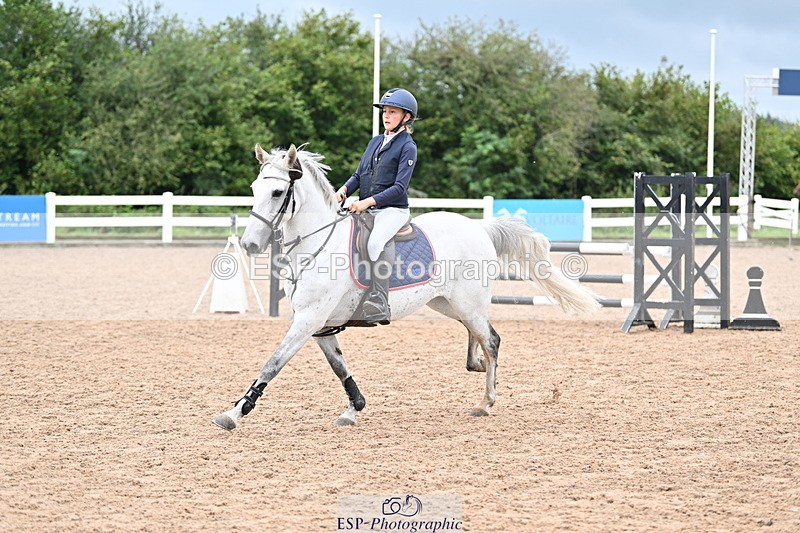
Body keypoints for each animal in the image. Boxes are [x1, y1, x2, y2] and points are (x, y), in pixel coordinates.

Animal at [211, 144, 600, 430]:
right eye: (254, 190)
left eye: (278, 192)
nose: (249, 245)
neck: (317, 243)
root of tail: (480, 227)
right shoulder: (319, 325)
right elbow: (339, 367)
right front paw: (354, 408)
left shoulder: (308, 320)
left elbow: (272, 364)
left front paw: (234, 413)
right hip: (447, 303)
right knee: (478, 336)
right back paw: (474, 365)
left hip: (467, 302)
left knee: (491, 340)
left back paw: (486, 401)